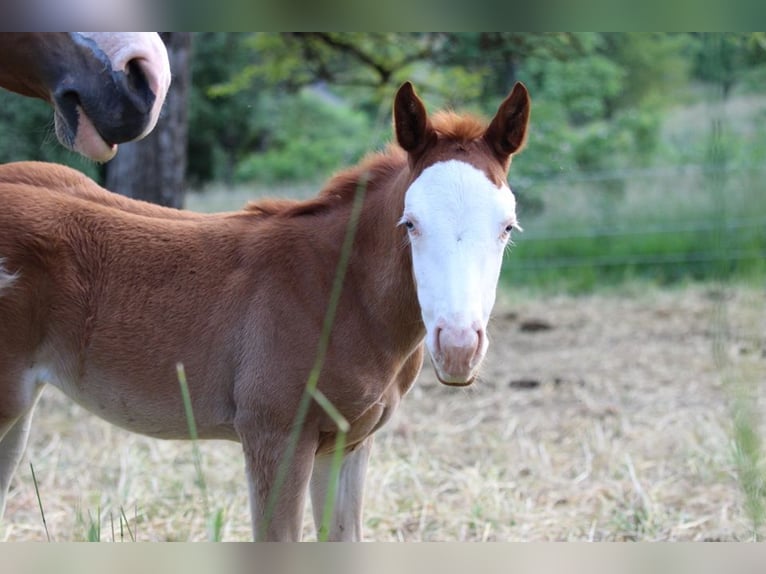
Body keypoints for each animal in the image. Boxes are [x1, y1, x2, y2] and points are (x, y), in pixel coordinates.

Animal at [0, 80, 532, 540]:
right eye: (411, 223)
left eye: (507, 227)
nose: (458, 348)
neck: (338, 292)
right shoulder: (274, 438)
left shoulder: (348, 443)